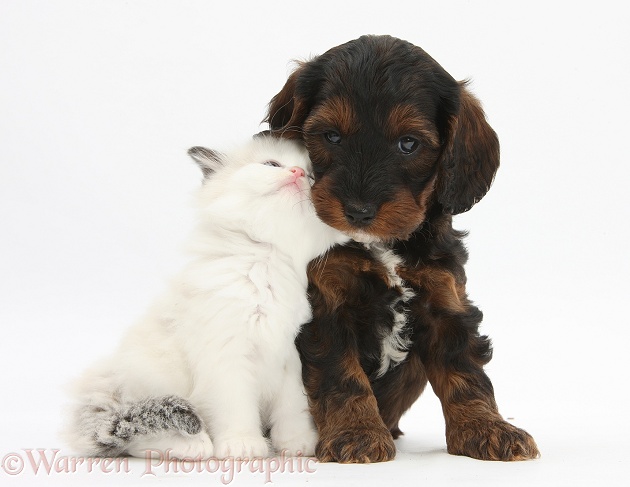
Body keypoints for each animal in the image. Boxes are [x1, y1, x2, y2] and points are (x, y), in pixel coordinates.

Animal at [63, 135, 350, 460]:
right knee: (136, 436)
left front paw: (297, 443)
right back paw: (192, 445)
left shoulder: (291, 358)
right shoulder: (227, 357)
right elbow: (236, 408)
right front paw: (243, 445)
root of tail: (106, 382)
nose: (298, 174)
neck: (267, 262)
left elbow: (292, 408)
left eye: (313, 177)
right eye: (271, 165)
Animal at [264, 35, 540, 466]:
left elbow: (466, 375)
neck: (381, 244)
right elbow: (342, 376)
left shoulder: (445, 299)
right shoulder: (327, 303)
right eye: (332, 137)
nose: (358, 211)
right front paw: (357, 434)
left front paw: (488, 429)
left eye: (408, 144)